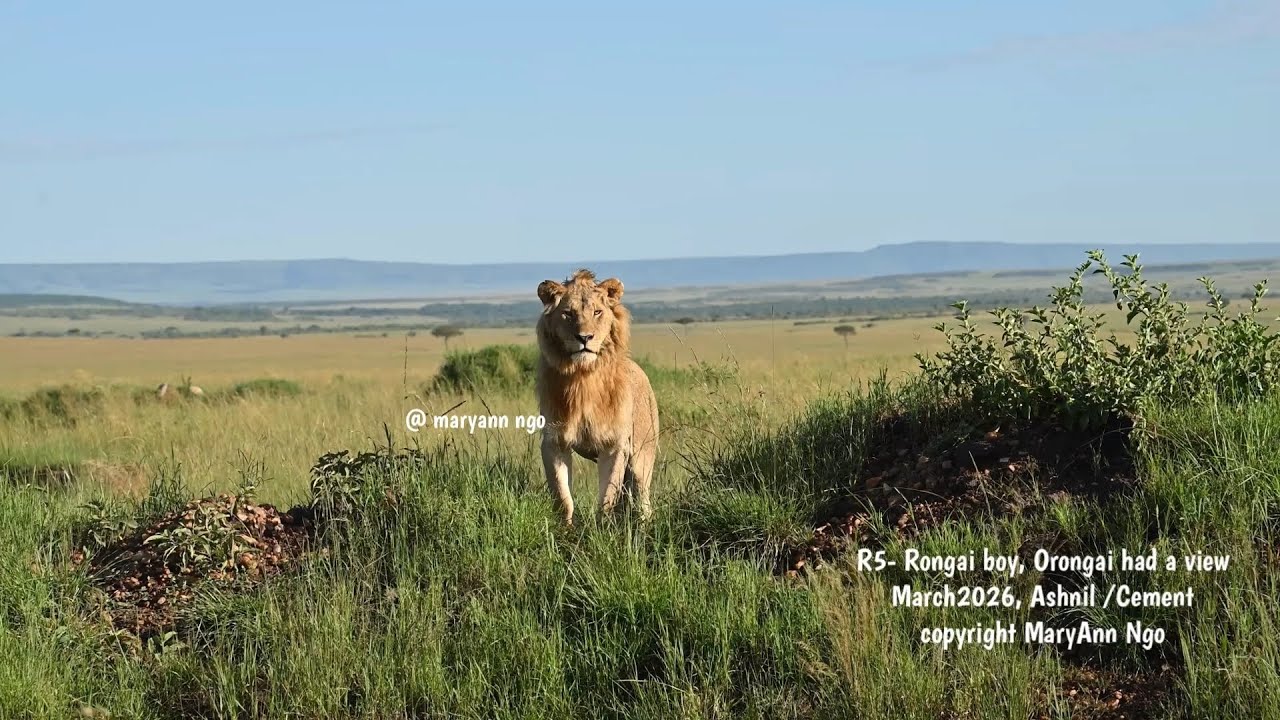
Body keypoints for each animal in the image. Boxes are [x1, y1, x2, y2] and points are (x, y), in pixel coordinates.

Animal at [535, 268, 659, 524]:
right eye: (568, 314)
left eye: (597, 312)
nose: (584, 338)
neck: (583, 378)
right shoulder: (554, 442)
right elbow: (562, 496)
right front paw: (566, 528)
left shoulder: (615, 445)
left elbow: (607, 496)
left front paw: (601, 527)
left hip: (642, 456)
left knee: (643, 499)